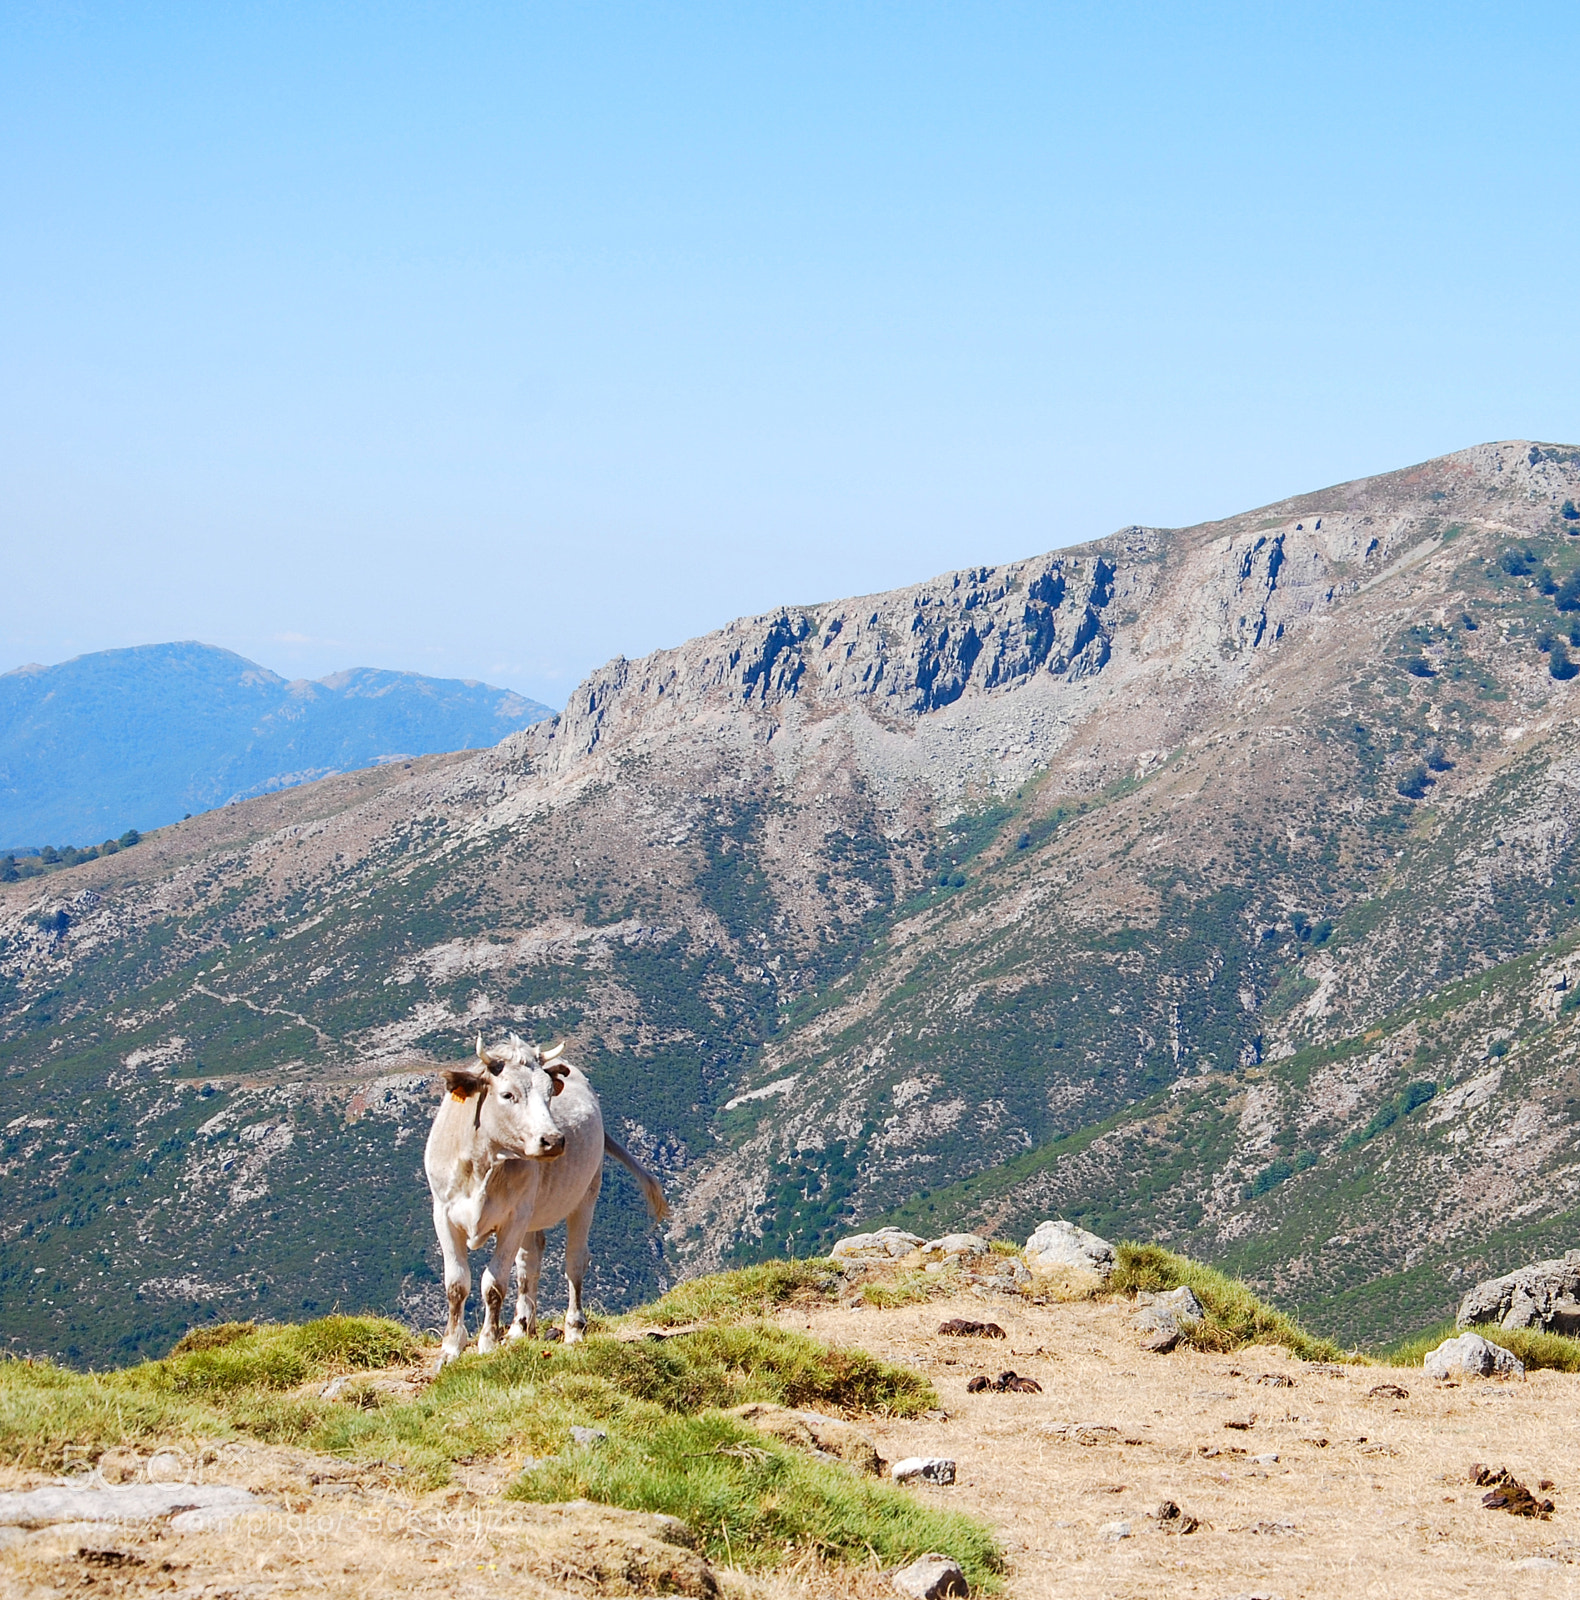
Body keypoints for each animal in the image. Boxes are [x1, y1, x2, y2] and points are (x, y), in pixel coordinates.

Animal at [424, 1032, 667, 1368]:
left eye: (550, 1093)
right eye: (508, 1094)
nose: (553, 1140)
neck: (482, 1162)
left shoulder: (514, 1218)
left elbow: (493, 1284)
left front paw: (487, 1343)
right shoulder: (443, 1213)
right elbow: (456, 1284)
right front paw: (450, 1348)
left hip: (584, 1195)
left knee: (574, 1261)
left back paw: (573, 1329)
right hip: (533, 1214)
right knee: (530, 1262)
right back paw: (520, 1329)